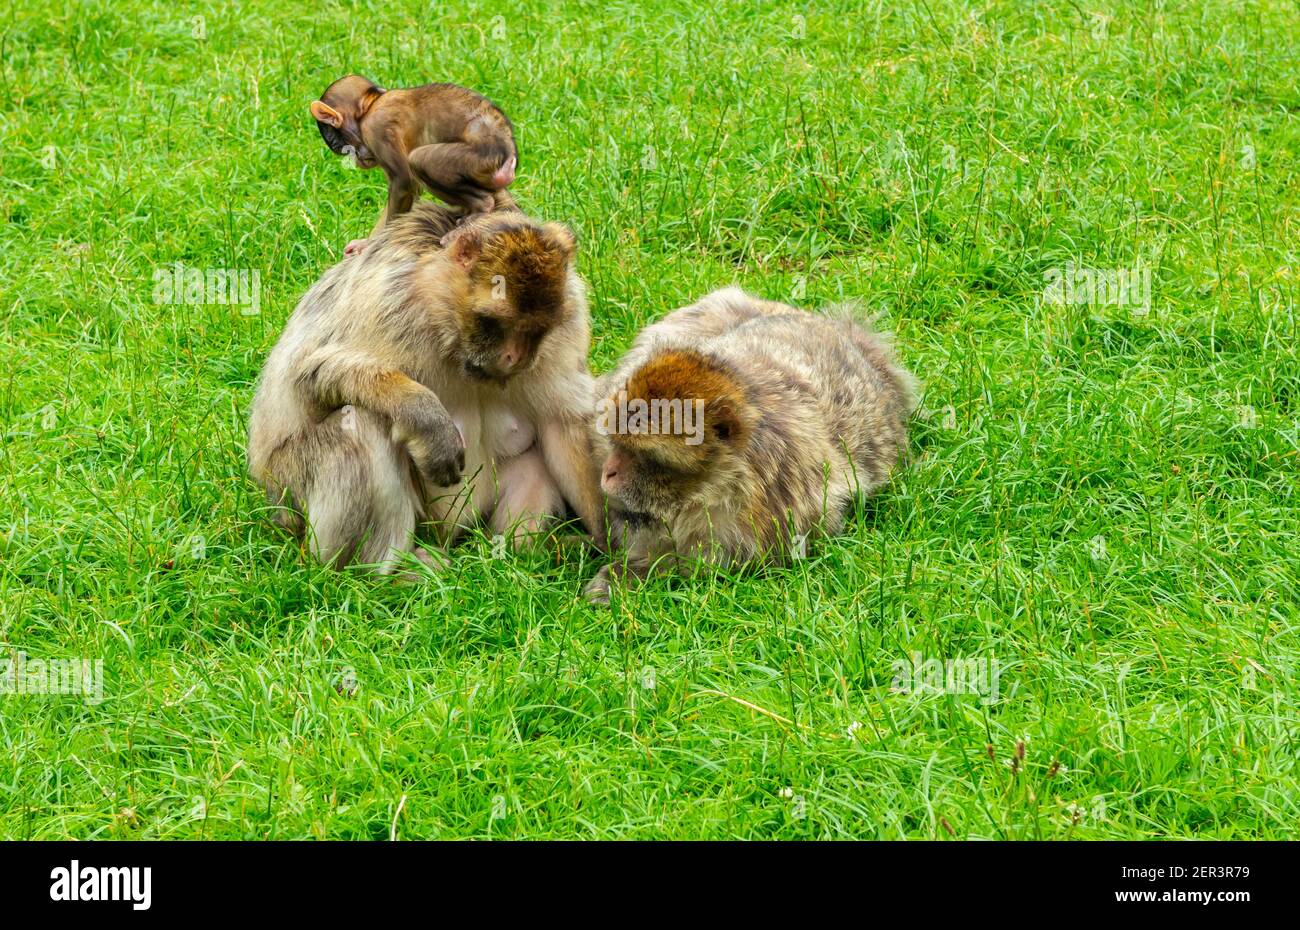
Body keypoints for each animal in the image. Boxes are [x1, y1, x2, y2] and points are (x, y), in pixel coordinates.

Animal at [247, 194, 604, 576]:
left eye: (536, 330)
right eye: (492, 322)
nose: (515, 358)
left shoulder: (569, 318)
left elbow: (562, 422)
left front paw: (611, 544)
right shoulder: (389, 299)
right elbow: (311, 372)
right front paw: (424, 416)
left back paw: (523, 551)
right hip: (291, 495)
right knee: (359, 426)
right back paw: (380, 575)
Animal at [309, 75, 518, 257]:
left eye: (340, 147)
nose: (357, 161)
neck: (371, 105)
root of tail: (509, 159)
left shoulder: (375, 128)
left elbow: (403, 181)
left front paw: (374, 243)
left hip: (480, 159)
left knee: (420, 160)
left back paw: (481, 208)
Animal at [585, 287, 917, 603]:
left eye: (644, 455)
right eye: (616, 443)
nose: (608, 472)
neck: (716, 490)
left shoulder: (784, 511)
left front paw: (634, 574)